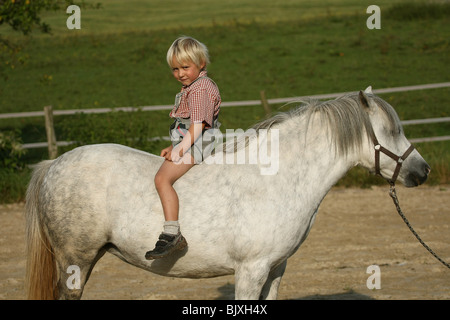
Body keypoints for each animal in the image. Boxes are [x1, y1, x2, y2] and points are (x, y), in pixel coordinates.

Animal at [24, 88, 428, 300]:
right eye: (392, 130)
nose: (421, 170)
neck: (277, 178)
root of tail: (54, 163)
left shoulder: (275, 268)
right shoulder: (250, 270)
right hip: (76, 261)